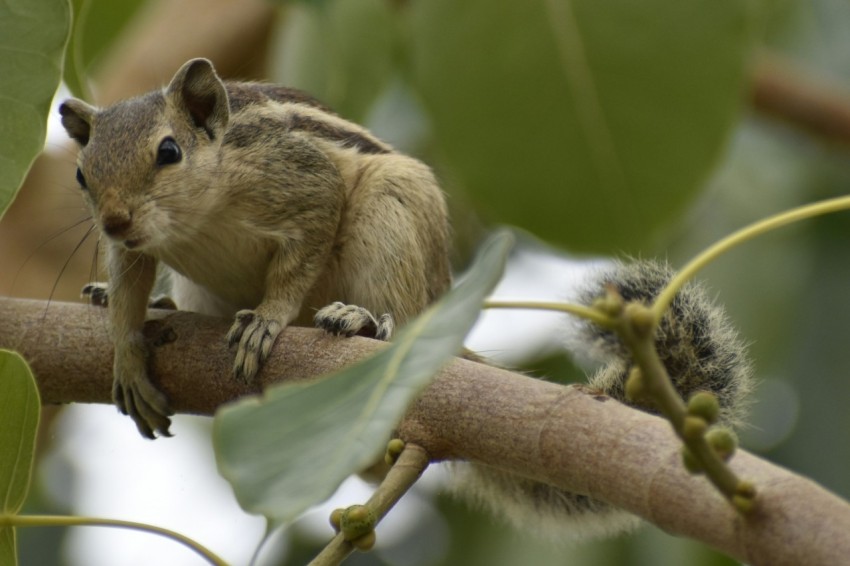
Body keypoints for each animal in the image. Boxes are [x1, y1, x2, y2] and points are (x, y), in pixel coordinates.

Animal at [59, 57, 450, 440]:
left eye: (169, 151)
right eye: (80, 175)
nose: (114, 222)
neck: (193, 223)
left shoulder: (308, 186)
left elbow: (294, 270)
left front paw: (266, 318)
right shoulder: (130, 249)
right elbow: (128, 294)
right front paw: (127, 359)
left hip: (391, 213)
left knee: (401, 320)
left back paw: (361, 319)